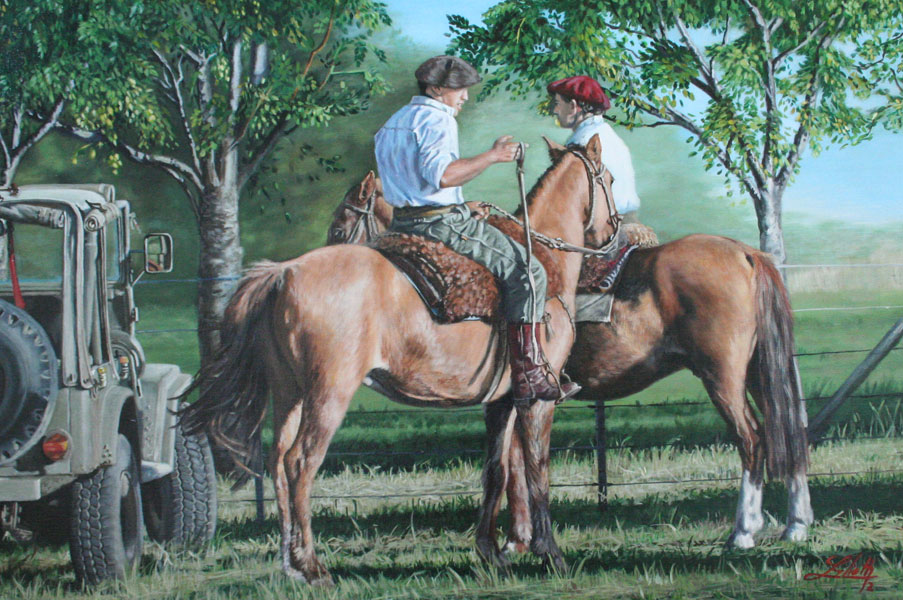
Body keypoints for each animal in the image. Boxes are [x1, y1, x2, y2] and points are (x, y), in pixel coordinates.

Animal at [180, 134, 618, 583]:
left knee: (277, 463)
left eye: (340, 228)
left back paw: (290, 565)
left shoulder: (502, 402)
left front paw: (490, 550)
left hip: (289, 394)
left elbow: (496, 469)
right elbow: (537, 468)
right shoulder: (537, 399)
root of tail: (283, 274)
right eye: (610, 179)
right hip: (328, 394)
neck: (545, 259)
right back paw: (313, 565)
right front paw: (551, 554)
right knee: (300, 463)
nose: (610, 230)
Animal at [328, 140, 813, 555]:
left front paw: (517, 541)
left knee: (752, 439)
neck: (544, 257)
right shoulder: (515, 393)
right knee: (785, 430)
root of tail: (746, 253)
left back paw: (743, 532)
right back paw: (795, 524)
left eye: (339, 225)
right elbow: (514, 463)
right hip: (756, 369)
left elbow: (519, 464)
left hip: (722, 374)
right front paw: (519, 538)